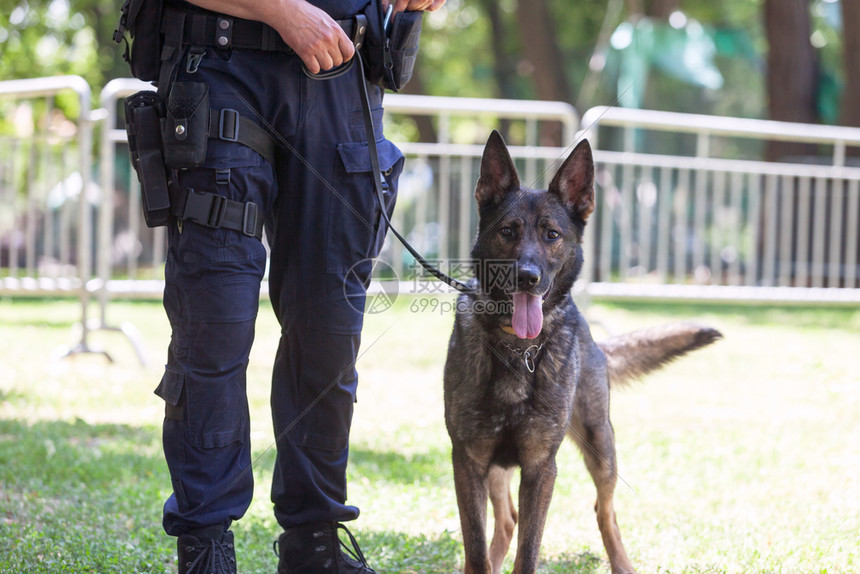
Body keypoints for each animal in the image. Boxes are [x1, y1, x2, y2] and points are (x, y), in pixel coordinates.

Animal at [444, 132, 720, 574]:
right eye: (508, 231)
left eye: (552, 235)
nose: (527, 277)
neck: (517, 347)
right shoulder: (468, 461)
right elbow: (476, 550)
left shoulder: (541, 468)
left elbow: (529, 552)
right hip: (497, 469)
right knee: (506, 520)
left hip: (601, 448)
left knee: (604, 511)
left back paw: (622, 564)